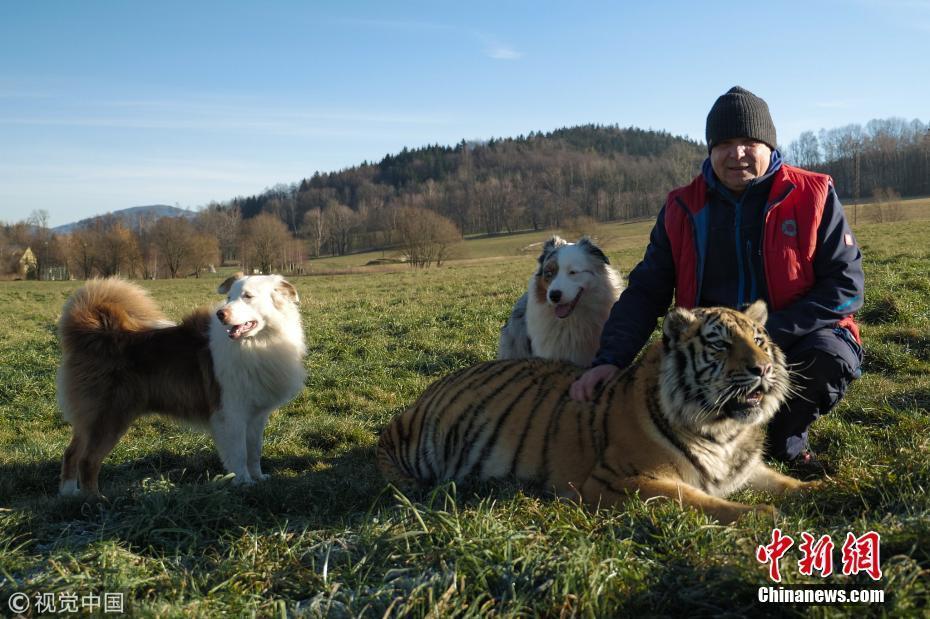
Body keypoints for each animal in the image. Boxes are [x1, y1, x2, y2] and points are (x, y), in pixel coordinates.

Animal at [56, 274, 306, 496]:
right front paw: (244, 483)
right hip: (110, 416)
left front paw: (258, 478)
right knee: (87, 461)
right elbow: (239, 453)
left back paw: (69, 495)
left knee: (71, 453)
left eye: (248, 296)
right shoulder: (230, 413)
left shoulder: (255, 414)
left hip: (91, 419)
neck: (256, 342)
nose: (221, 314)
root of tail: (93, 334)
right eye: (229, 297)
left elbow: (254, 451)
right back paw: (96, 500)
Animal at [376, 300, 812, 524]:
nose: (763, 369)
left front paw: (824, 489)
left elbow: (789, 483)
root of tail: (418, 399)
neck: (723, 431)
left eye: (759, 340)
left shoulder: (745, 468)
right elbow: (695, 499)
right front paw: (762, 514)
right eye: (720, 344)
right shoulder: (615, 480)